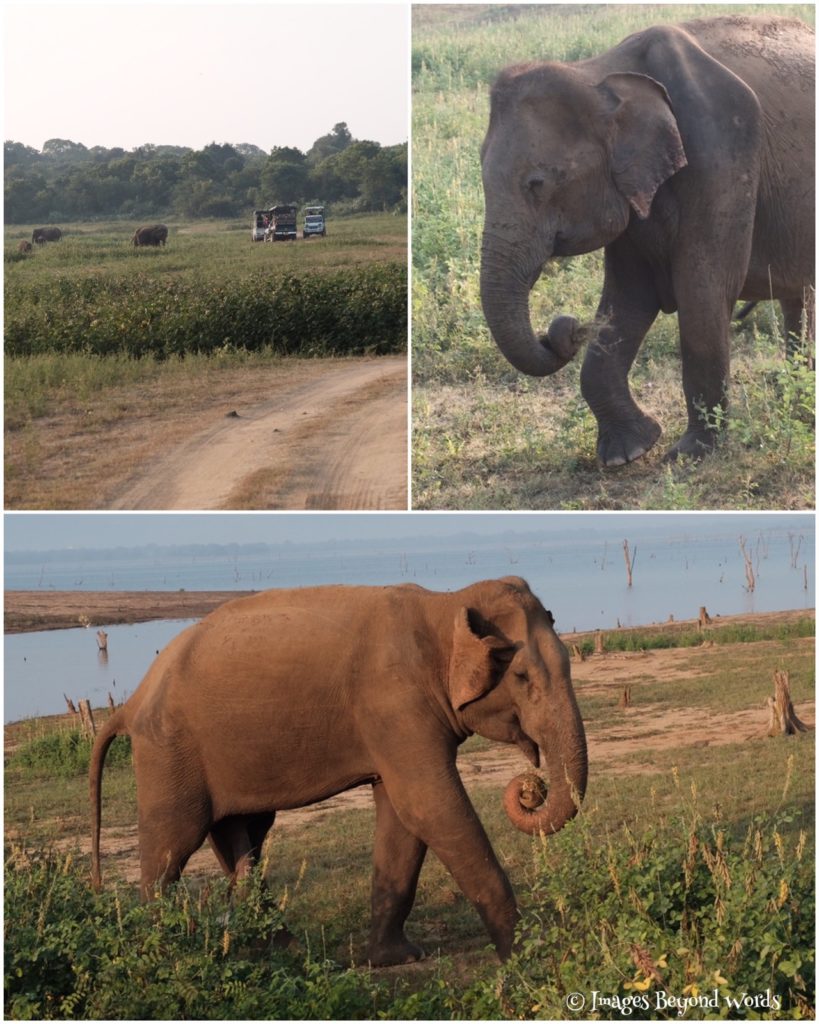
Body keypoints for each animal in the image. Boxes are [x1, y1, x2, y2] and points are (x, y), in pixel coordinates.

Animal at [90, 577, 587, 966]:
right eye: (521, 677)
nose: (531, 786)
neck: (446, 604)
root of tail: (132, 702)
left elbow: (403, 820)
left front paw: (396, 959)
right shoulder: (394, 704)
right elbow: (429, 806)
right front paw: (526, 954)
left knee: (242, 834)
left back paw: (286, 949)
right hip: (168, 752)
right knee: (171, 845)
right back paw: (165, 952)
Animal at [480, 15, 815, 466]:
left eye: (537, 184)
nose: (565, 330)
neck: (598, 72)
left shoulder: (723, 151)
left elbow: (703, 288)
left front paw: (689, 455)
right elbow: (629, 296)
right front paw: (629, 453)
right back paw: (798, 404)